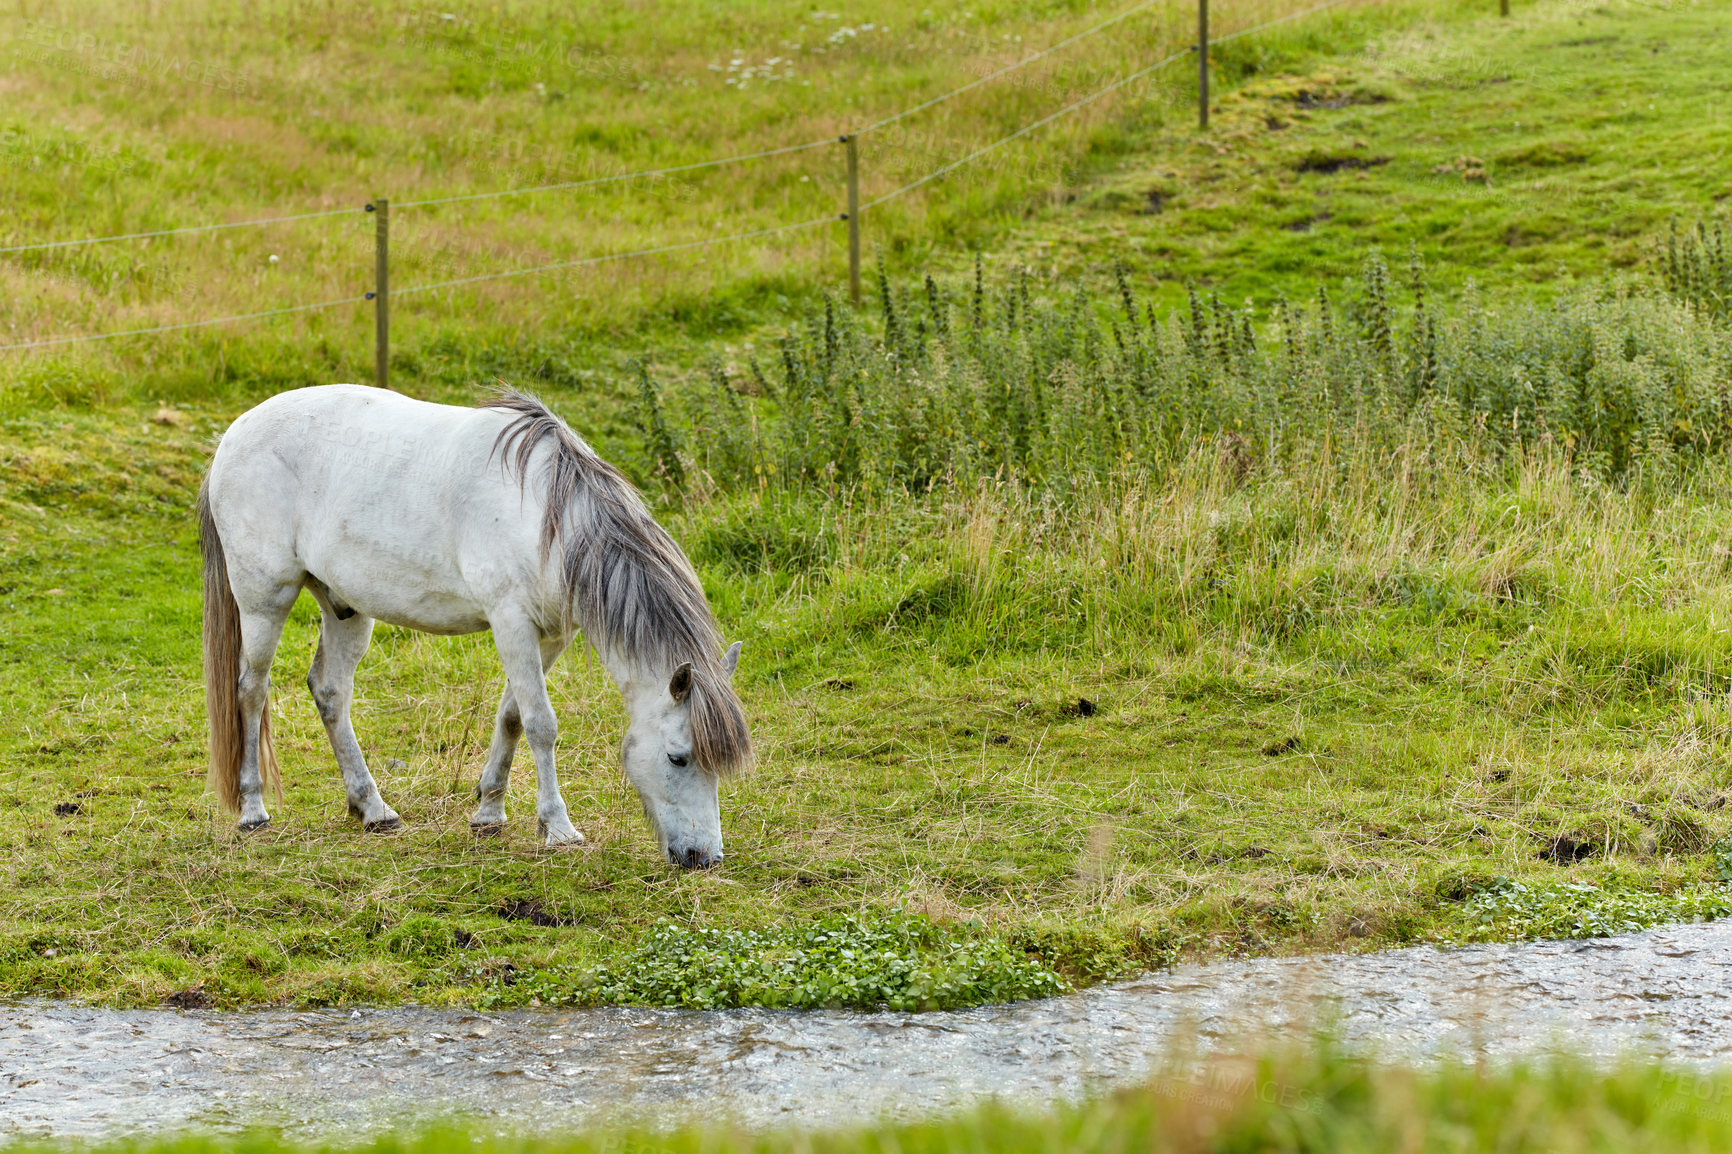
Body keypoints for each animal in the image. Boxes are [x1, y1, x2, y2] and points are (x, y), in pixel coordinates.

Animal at [198, 381, 751, 866]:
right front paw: (559, 828)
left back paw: (373, 809)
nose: (703, 859)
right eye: (678, 757)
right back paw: (253, 811)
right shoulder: (511, 623)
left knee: (330, 691)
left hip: (346, 607)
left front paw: (489, 813)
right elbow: (541, 724)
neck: (547, 518)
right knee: (251, 690)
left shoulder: (550, 635)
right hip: (265, 600)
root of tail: (234, 434)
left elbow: (511, 716)